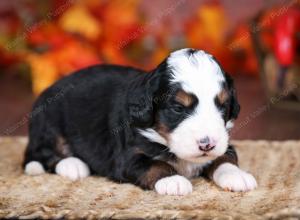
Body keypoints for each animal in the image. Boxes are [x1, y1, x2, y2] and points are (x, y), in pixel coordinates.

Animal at [24, 49, 258, 195]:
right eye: (178, 108)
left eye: (222, 106)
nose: (207, 144)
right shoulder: (127, 157)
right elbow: (156, 164)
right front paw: (173, 180)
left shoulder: (225, 143)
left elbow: (225, 158)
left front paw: (237, 176)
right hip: (48, 123)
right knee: (39, 154)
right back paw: (72, 164)